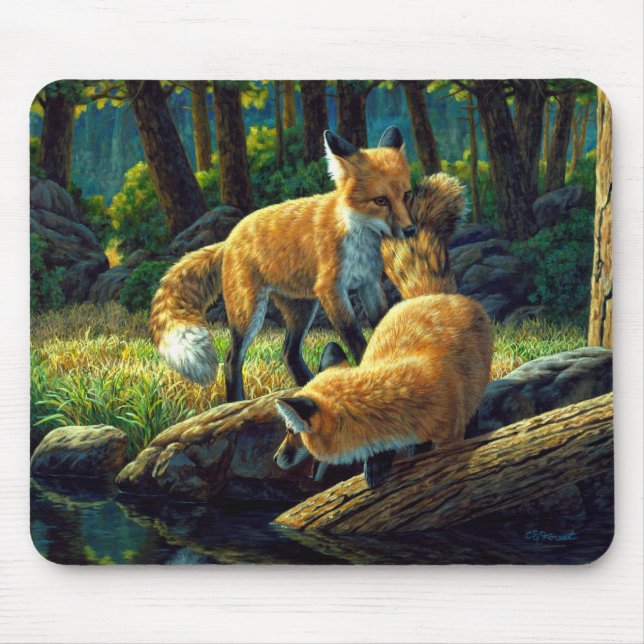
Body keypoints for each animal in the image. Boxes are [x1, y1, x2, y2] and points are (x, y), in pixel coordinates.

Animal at [149, 126, 416, 402]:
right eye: (380, 200)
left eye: (407, 195)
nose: (411, 230)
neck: (358, 235)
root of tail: (229, 239)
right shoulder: (331, 289)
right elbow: (355, 337)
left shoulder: (368, 283)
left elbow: (382, 320)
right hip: (250, 313)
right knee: (232, 358)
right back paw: (237, 400)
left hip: (302, 308)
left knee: (288, 353)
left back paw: (305, 388)